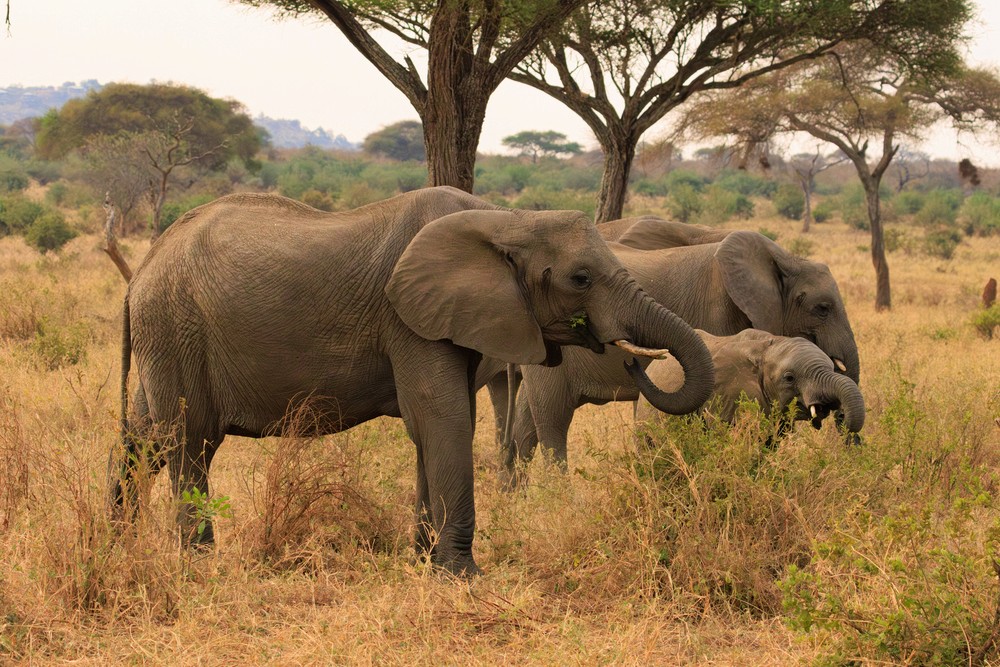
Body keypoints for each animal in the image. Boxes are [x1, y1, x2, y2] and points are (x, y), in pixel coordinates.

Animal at [107, 186, 716, 576]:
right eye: (581, 278)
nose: (632, 358)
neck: (506, 219)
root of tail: (142, 269)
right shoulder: (409, 320)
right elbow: (444, 421)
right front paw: (462, 575)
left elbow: (436, 426)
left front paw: (423, 563)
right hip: (177, 326)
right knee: (189, 442)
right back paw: (199, 566)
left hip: (166, 336)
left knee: (143, 438)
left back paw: (118, 546)